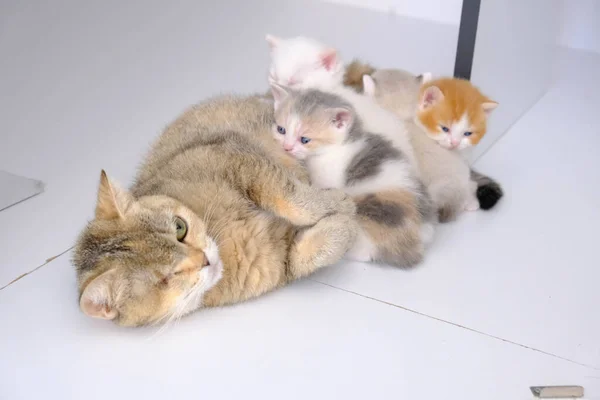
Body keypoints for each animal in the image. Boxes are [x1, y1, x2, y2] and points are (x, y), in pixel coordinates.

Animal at [72, 95, 358, 326]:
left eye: (180, 227)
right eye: (168, 278)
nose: (205, 259)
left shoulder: (236, 157)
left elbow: (289, 198)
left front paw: (336, 204)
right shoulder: (278, 257)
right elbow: (306, 256)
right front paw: (345, 221)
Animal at [270, 84, 434, 266]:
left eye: (305, 140)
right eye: (281, 130)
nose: (286, 147)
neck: (333, 148)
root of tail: (421, 235)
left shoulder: (329, 178)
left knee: (366, 249)